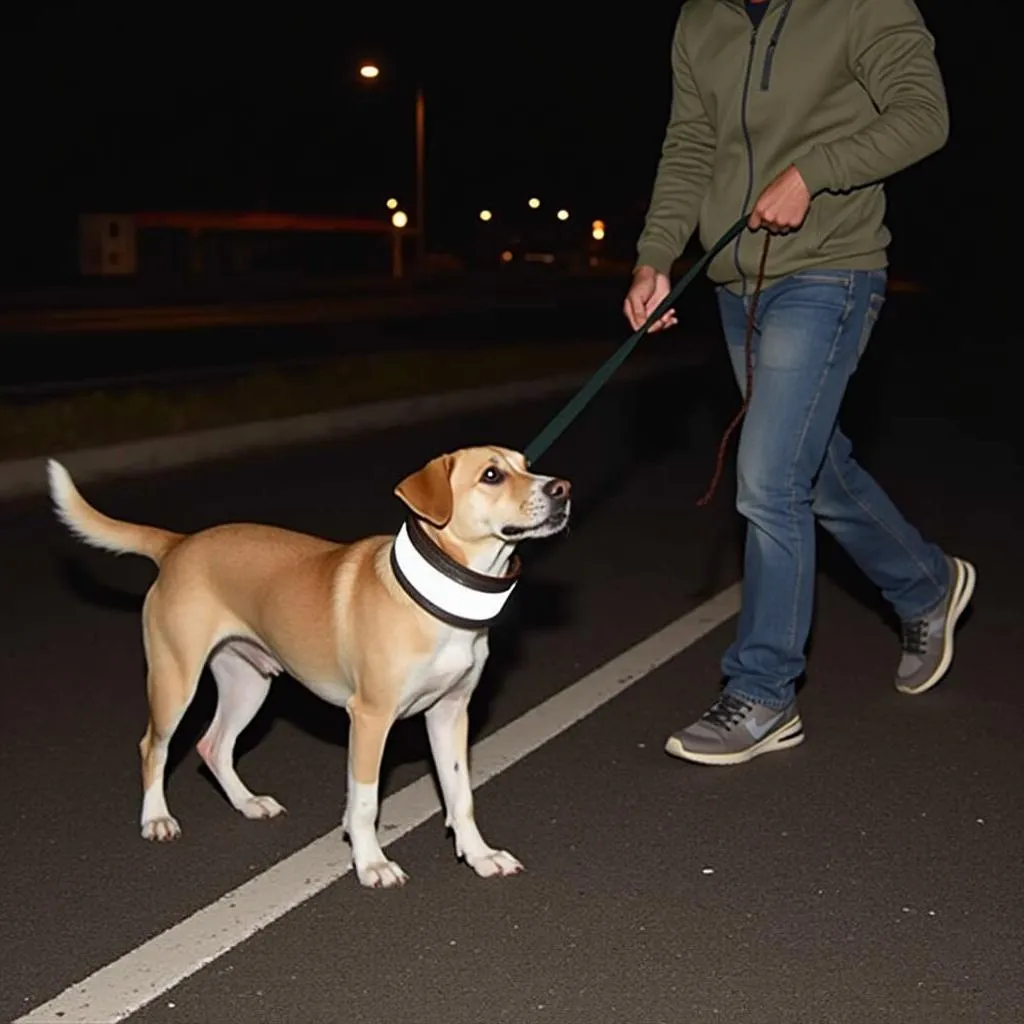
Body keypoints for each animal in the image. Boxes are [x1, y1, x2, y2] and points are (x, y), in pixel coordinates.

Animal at [48, 448, 573, 888]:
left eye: (527, 465)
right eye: (492, 475)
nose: (562, 487)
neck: (436, 597)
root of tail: (179, 545)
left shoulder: (450, 713)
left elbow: (460, 794)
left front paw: (479, 855)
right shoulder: (370, 718)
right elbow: (365, 801)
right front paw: (372, 863)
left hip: (248, 684)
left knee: (213, 745)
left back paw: (248, 802)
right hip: (175, 682)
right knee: (153, 748)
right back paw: (156, 818)